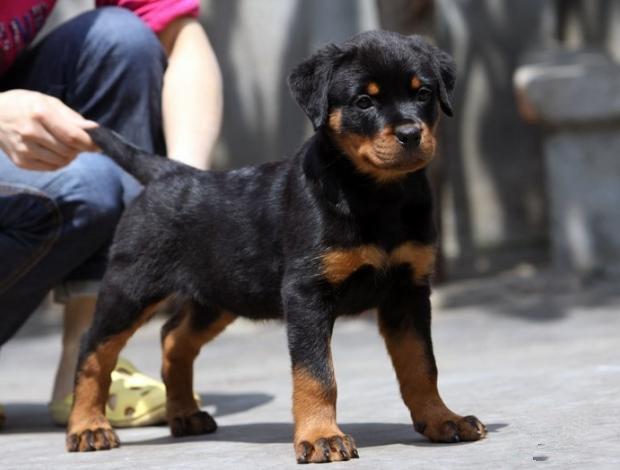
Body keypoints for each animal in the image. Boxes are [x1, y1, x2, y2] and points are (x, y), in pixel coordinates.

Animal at [66, 30, 484, 462]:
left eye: (424, 93)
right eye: (364, 102)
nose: (410, 134)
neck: (377, 195)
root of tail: (167, 171)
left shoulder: (409, 290)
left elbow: (421, 363)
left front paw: (442, 419)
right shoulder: (306, 293)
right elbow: (316, 373)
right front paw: (321, 436)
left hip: (220, 293)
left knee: (173, 337)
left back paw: (184, 414)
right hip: (131, 287)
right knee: (94, 350)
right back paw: (88, 427)